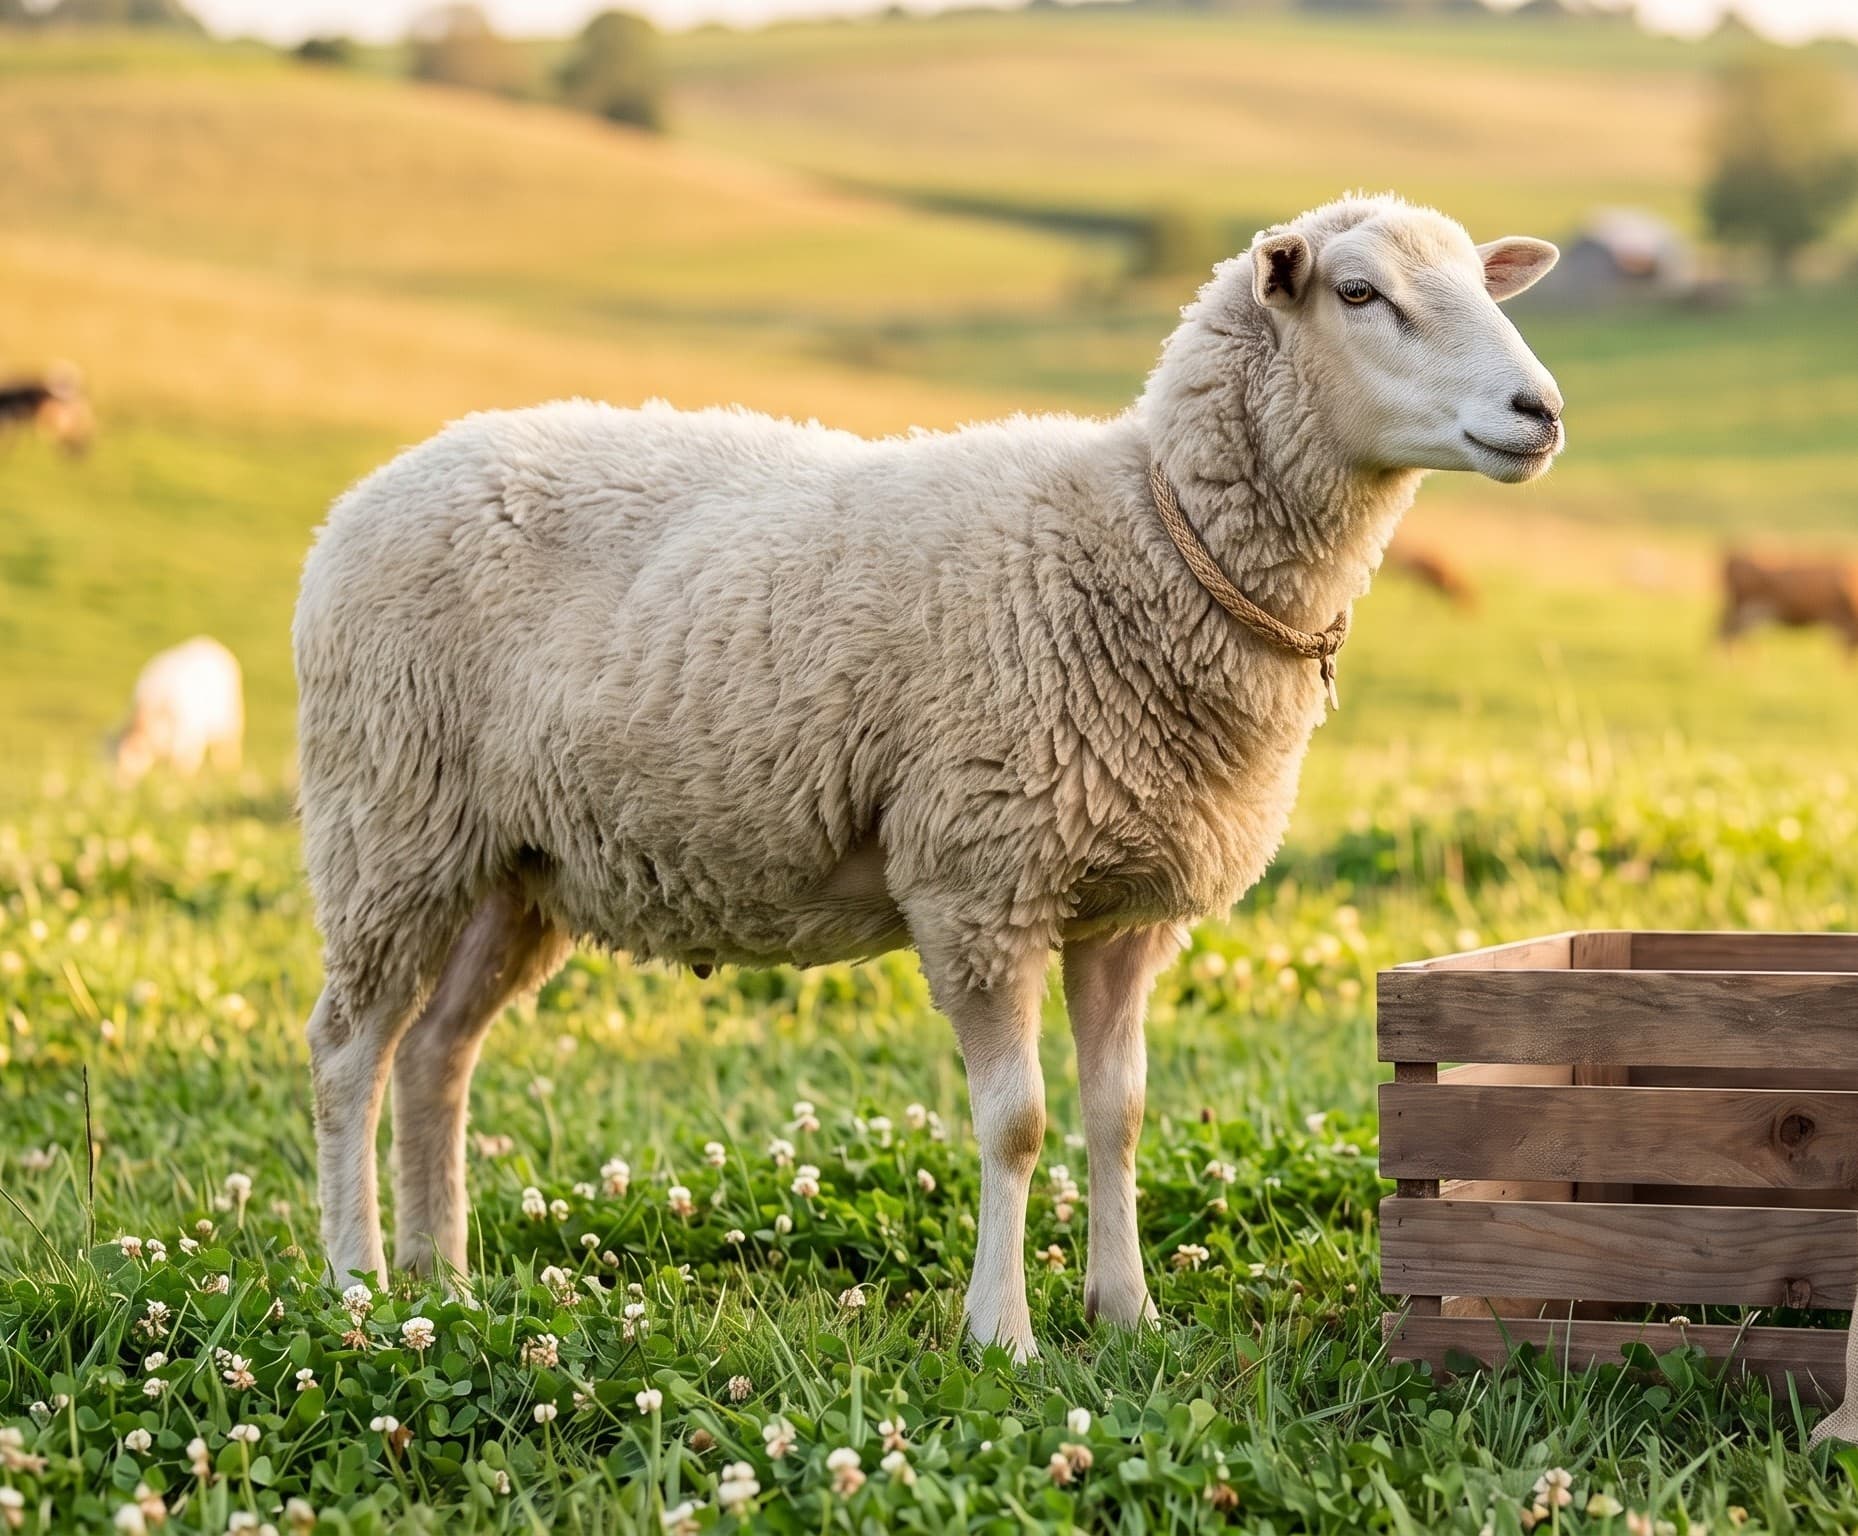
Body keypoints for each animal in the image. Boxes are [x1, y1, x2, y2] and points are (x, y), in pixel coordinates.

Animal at [113, 636, 245, 785]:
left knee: (227, 747)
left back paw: (228, 772)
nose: (118, 784)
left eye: (132, 760)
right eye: (116, 759)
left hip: (230, 718)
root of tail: (207, 640)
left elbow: (183, 765)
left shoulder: (189, 738)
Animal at [294, 193, 1562, 1353]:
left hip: (513, 864)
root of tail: (368, 492)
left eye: (1483, 283)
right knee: (350, 1051)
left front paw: (1128, 1314)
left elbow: (1120, 1114)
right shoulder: (978, 882)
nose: (1541, 411)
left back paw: (445, 1281)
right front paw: (1002, 1334)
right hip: (387, 821)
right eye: (1358, 293)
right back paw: (362, 1287)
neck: (1145, 544)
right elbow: (1018, 1124)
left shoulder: (1125, 908)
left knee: (438, 1055)